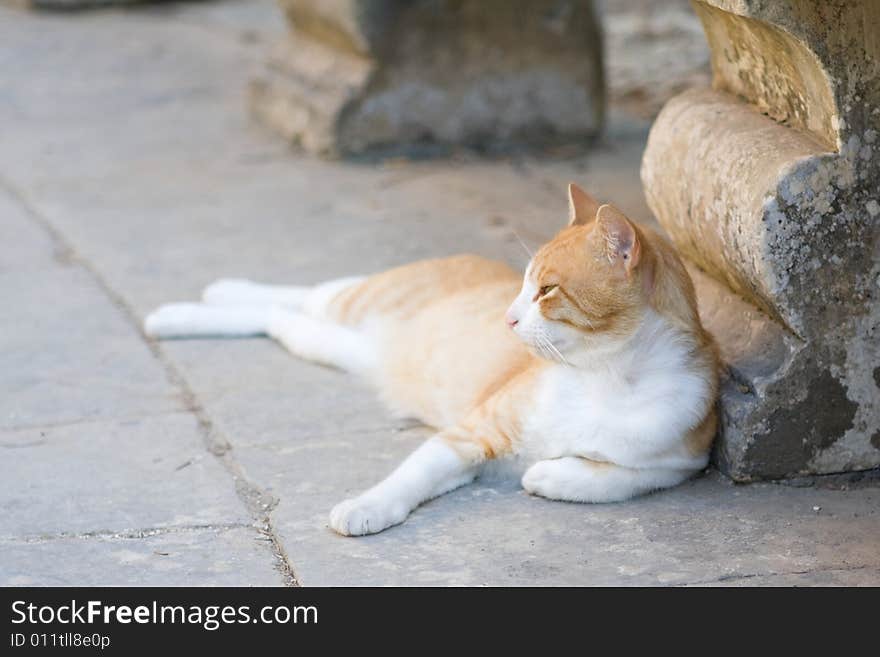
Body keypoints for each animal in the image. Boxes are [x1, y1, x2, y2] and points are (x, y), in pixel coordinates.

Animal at [146, 183, 720, 532]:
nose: (508, 318)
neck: (607, 376)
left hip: (339, 344)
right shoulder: (471, 433)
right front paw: (367, 506)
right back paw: (191, 305)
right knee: (305, 294)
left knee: (282, 322)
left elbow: (627, 475)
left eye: (546, 291)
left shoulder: (684, 460)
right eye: (523, 284)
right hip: (359, 300)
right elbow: (412, 474)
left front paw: (553, 475)